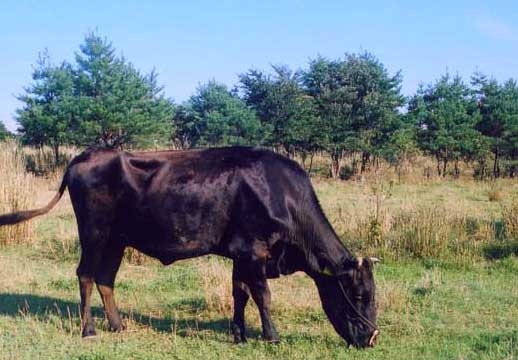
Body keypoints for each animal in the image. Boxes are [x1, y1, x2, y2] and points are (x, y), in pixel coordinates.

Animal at [1, 147, 382, 348]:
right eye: (359, 295)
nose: (371, 337)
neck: (281, 194)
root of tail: (84, 156)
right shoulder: (255, 252)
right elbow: (263, 295)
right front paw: (271, 336)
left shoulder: (240, 254)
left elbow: (240, 293)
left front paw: (239, 335)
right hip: (94, 234)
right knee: (85, 275)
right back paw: (89, 330)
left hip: (116, 241)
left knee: (106, 279)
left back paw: (117, 325)